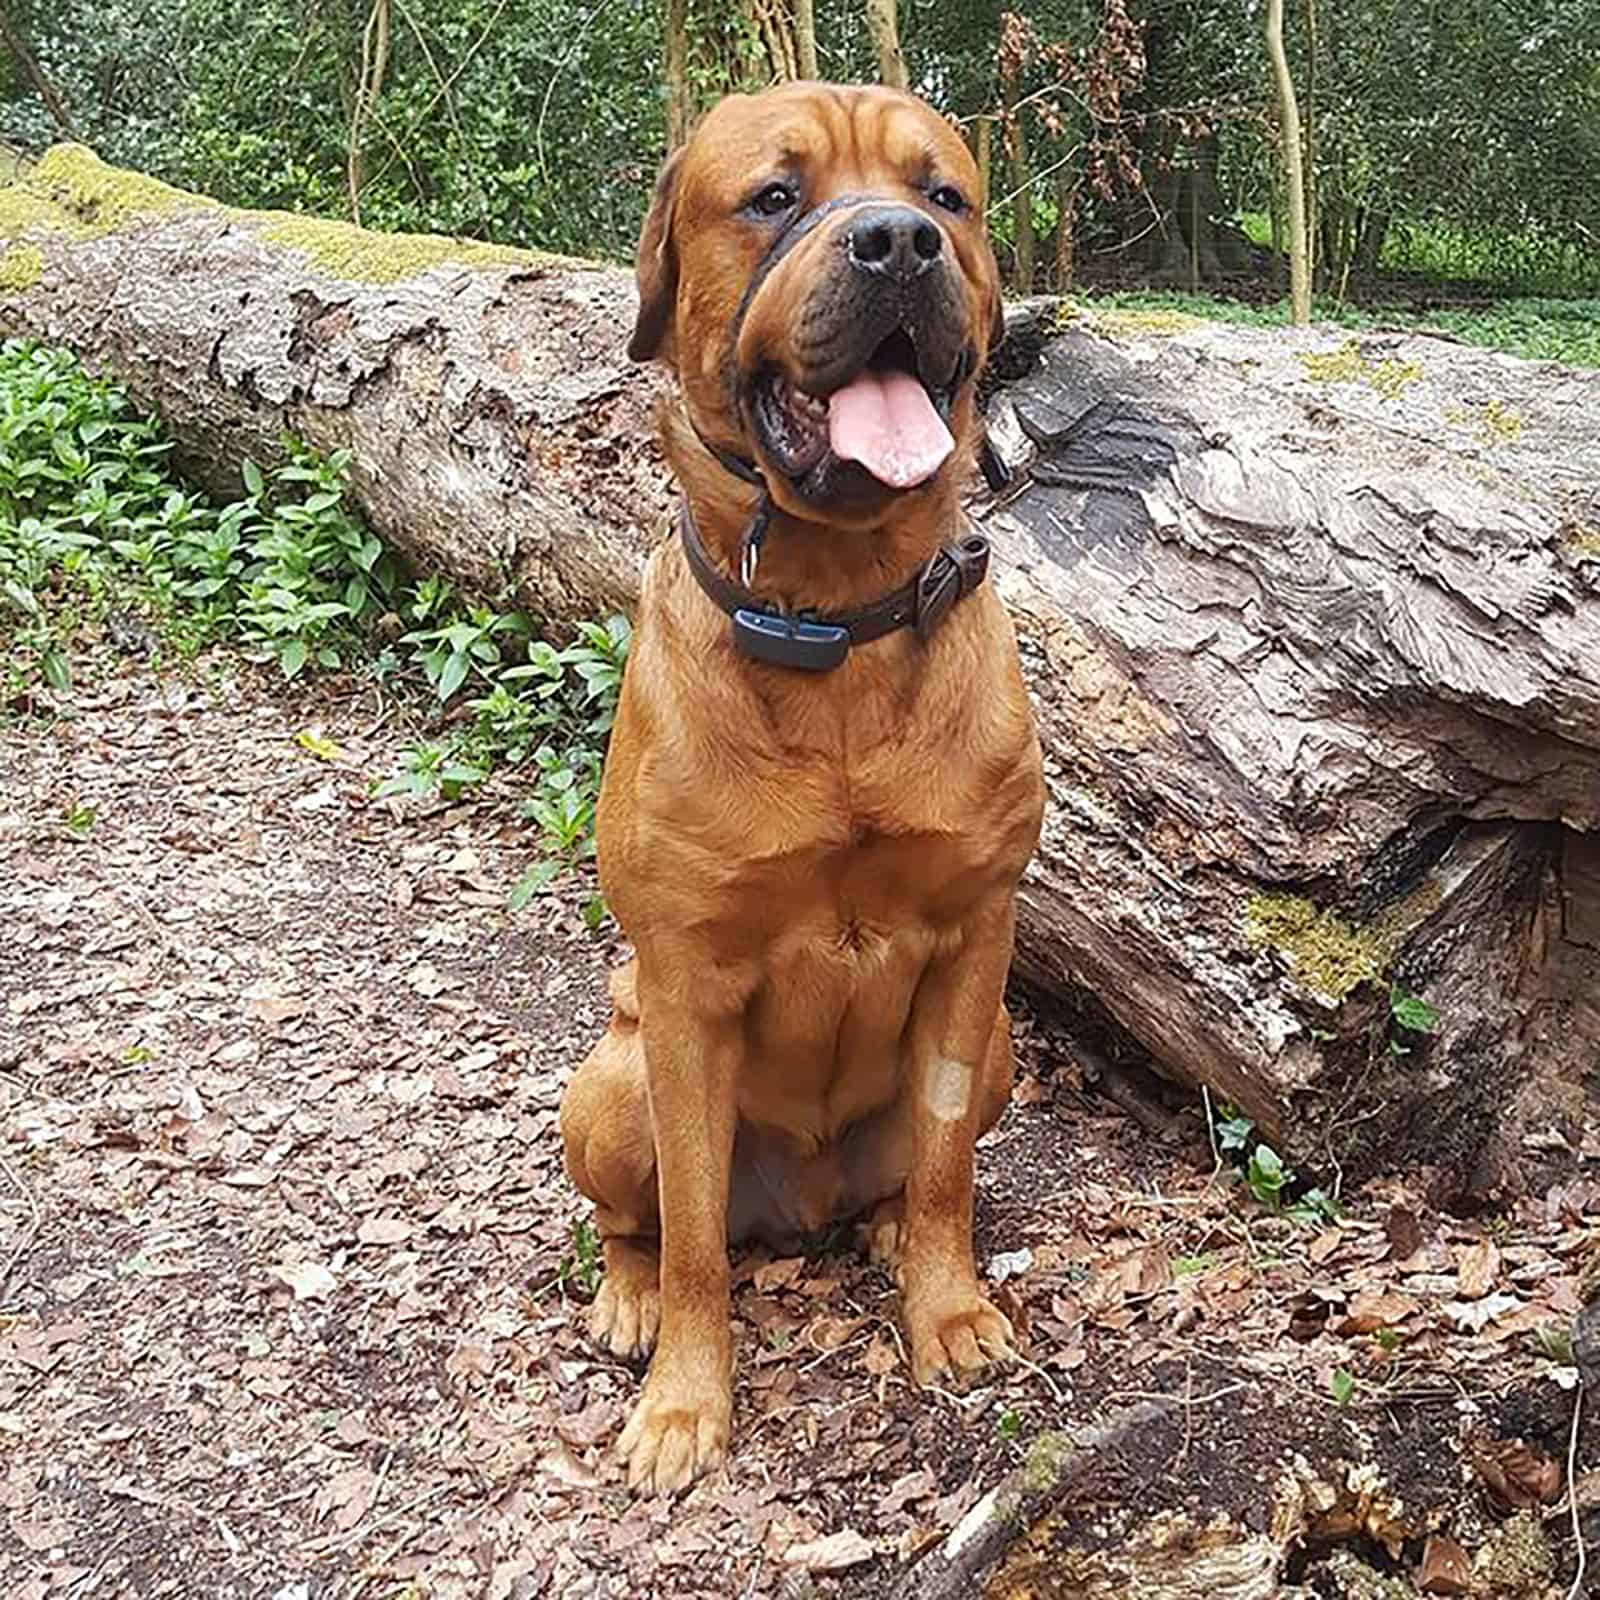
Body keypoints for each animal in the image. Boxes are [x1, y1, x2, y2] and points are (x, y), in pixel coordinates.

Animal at [563, 81, 1049, 1491]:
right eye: (773, 197)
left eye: (943, 195)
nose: (896, 243)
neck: (833, 619)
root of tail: (807, 1200)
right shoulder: (682, 984)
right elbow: (694, 1244)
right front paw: (685, 1402)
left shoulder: (972, 944)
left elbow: (942, 1168)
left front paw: (946, 1312)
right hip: (608, 1080)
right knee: (640, 1220)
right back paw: (626, 1298)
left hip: (1000, 1053)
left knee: (906, 1173)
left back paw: (878, 1228)